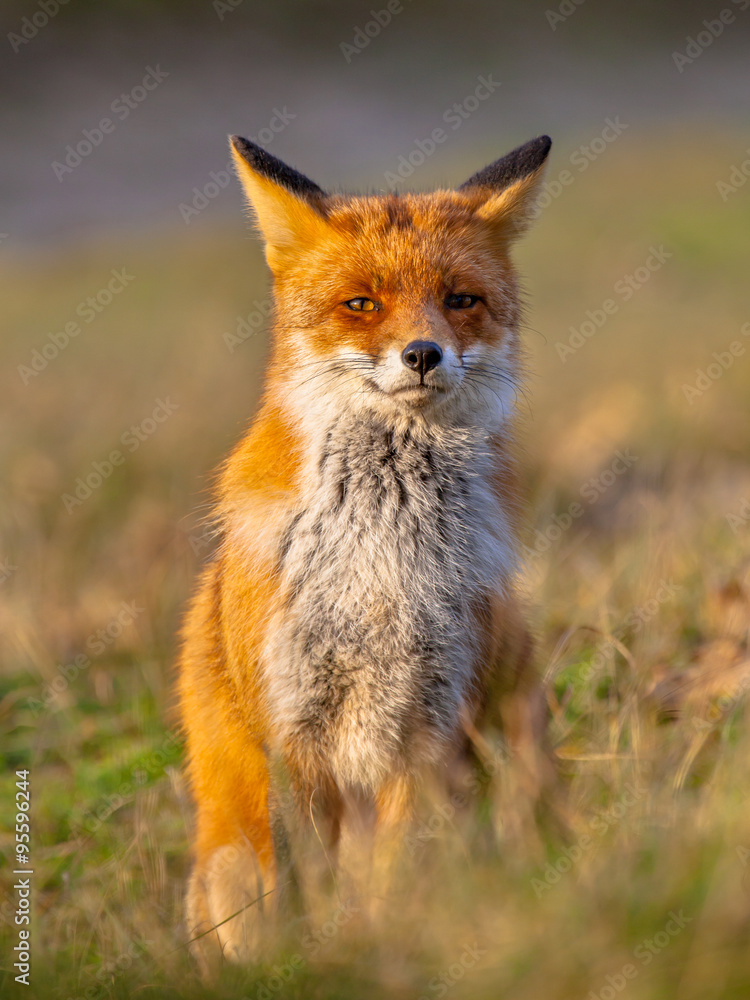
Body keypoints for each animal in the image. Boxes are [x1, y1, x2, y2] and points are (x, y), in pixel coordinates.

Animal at [177, 131, 552, 968]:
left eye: (460, 300)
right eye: (362, 304)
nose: (423, 353)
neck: (382, 559)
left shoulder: (432, 724)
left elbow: (387, 872)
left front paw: (381, 942)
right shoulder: (289, 728)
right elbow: (311, 882)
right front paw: (318, 961)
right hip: (227, 860)